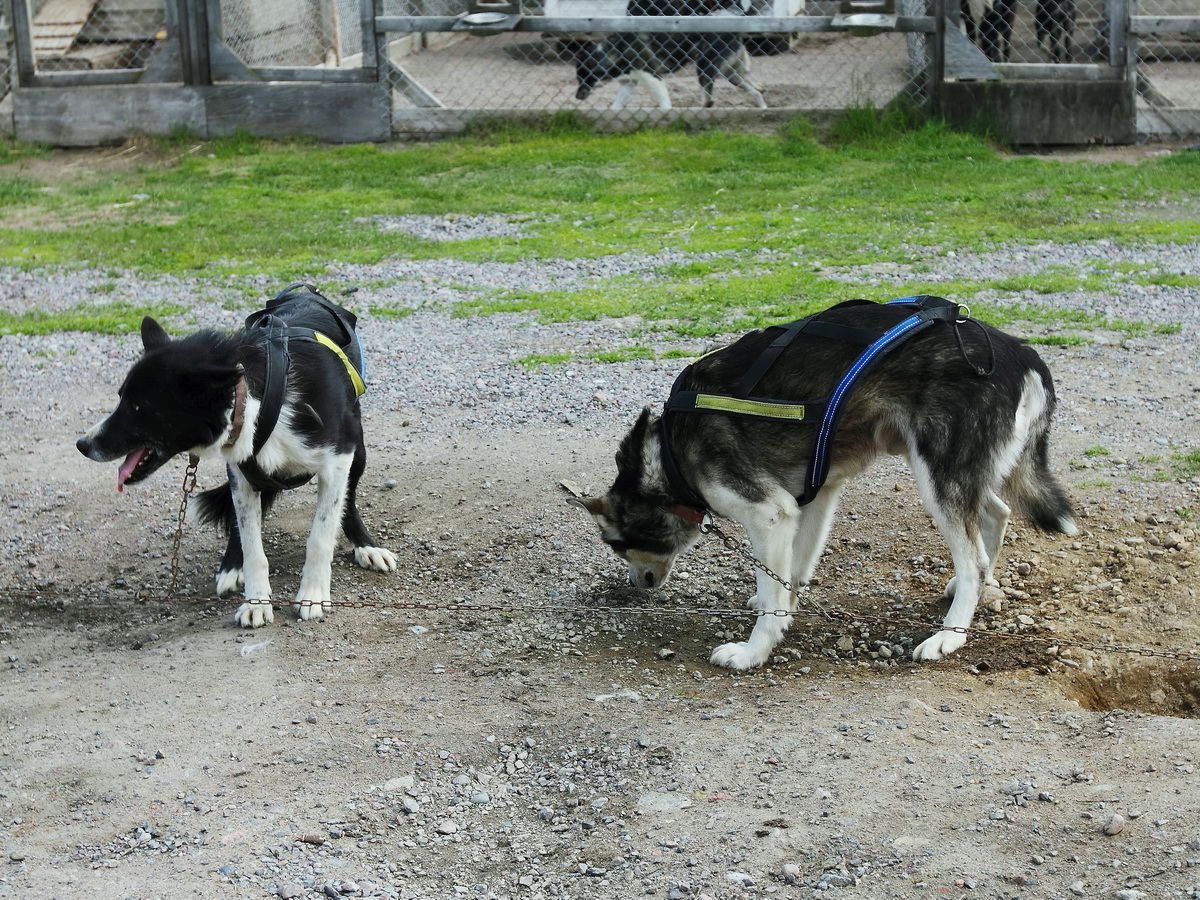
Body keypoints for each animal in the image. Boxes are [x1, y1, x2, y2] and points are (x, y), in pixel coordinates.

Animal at [78, 285, 398, 628]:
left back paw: (366, 546)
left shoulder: (339, 459)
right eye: (121, 399)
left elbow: (321, 536)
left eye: (139, 407)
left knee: (347, 502)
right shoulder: (241, 471)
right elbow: (251, 544)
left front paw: (313, 594)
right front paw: (255, 601)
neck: (260, 395)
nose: (82, 444)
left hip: (358, 450)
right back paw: (232, 566)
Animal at [571, 300, 1080, 672]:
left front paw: (754, 652)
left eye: (618, 545)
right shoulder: (813, 499)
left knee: (973, 554)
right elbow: (790, 574)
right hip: (960, 471)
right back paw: (973, 590)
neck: (670, 453)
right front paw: (783, 608)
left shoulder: (769, 512)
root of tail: (1021, 352)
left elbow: (771, 598)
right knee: (995, 513)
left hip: (937, 477)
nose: (635, 585)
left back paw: (950, 635)